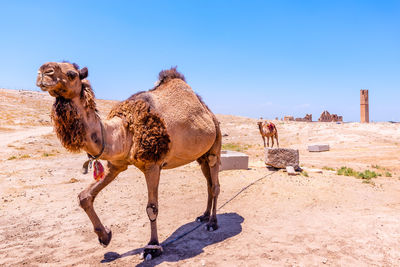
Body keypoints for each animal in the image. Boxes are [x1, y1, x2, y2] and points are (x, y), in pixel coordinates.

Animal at [35, 61, 220, 260]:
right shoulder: (116, 164)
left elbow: (152, 208)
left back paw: (212, 223)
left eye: (71, 74)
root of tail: (209, 113)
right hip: (200, 156)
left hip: (215, 144)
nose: (44, 72)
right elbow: (84, 196)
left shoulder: (152, 164)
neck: (123, 130)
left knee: (215, 185)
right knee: (208, 183)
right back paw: (203, 216)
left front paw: (152, 247)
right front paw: (105, 236)